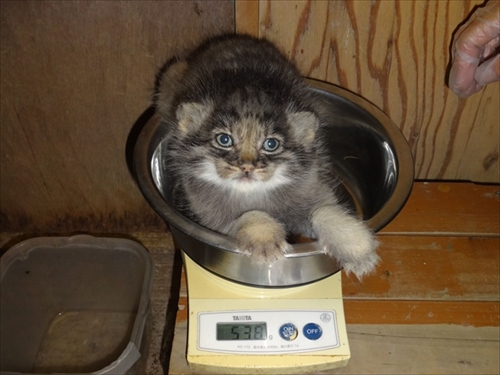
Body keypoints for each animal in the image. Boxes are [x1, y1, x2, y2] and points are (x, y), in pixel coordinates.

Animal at [156, 34, 378, 280]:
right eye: (224, 139)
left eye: (271, 144)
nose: (247, 167)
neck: (253, 194)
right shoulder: (211, 218)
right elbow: (248, 216)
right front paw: (265, 238)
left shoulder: (314, 192)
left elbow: (326, 211)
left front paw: (355, 246)